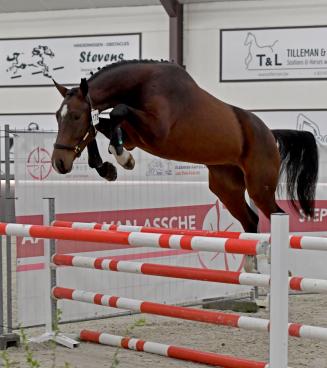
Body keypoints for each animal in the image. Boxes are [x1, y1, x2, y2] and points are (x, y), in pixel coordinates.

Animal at [52, 59, 320, 234]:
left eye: (75, 116)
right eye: (57, 116)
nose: (59, 162)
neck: (143, 84)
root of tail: (270, 134)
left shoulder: (156, 131)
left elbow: (117, 112)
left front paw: (122, 159)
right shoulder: (134, 136)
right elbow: (100, 126)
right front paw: (107, 167)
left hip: (259, 187)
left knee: (275, 214)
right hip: (226, 187)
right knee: (251, 220)